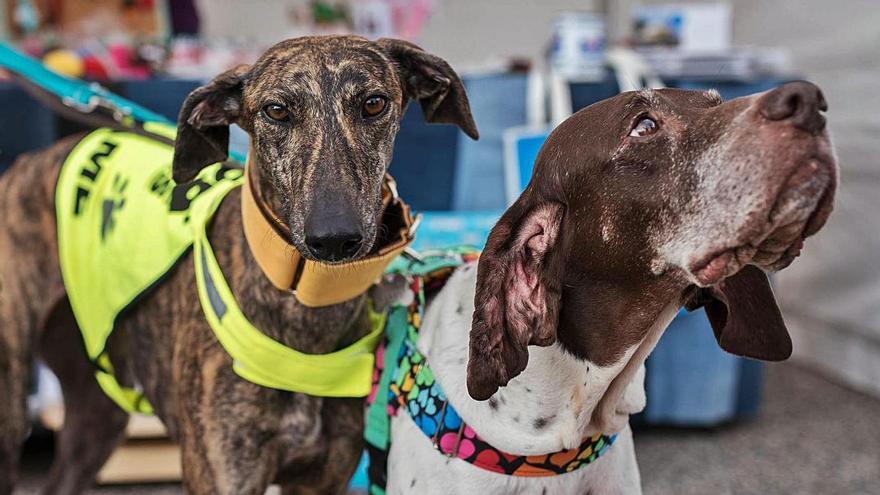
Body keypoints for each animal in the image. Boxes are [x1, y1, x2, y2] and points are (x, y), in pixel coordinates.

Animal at [0, 35, 478, 495]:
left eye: (374, 103)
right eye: (276, 110)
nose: (335, 238)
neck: (302, 300)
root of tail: (27, 162)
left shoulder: (320, 480)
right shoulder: (224, 473)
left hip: (96, 414)